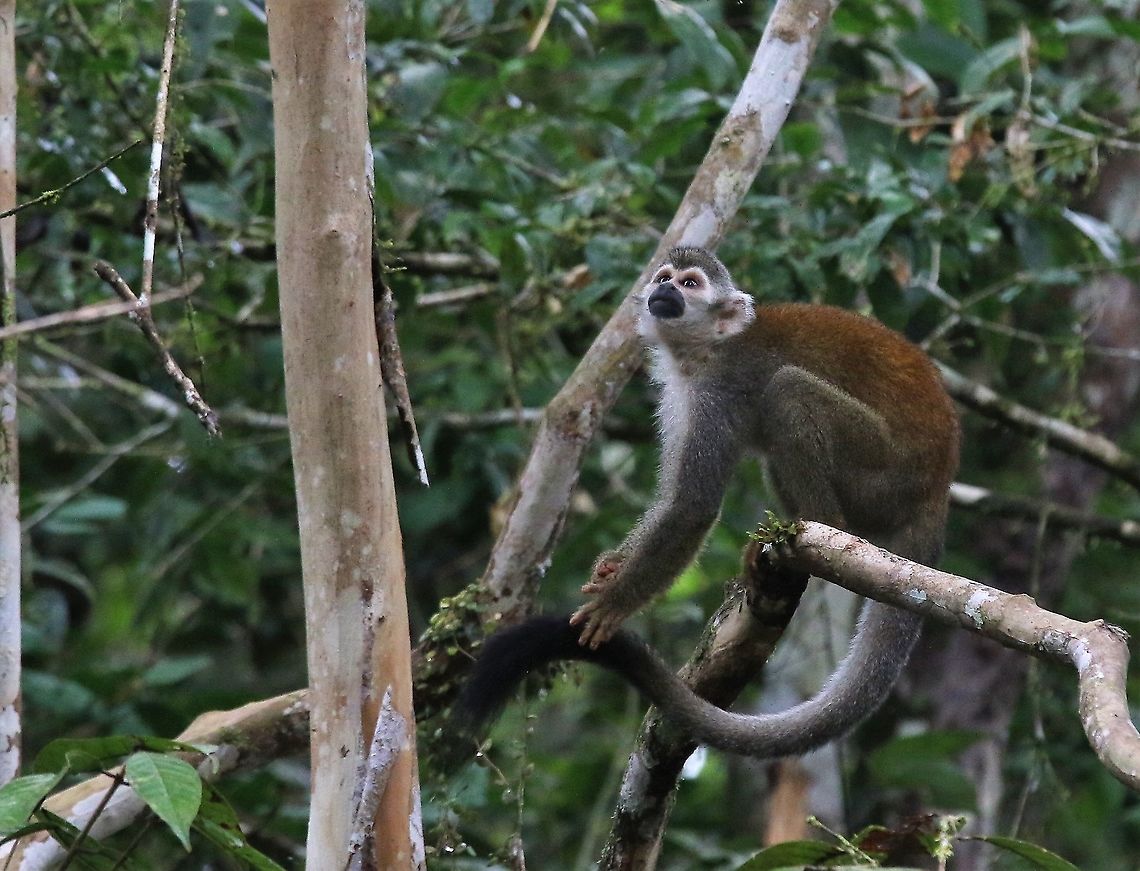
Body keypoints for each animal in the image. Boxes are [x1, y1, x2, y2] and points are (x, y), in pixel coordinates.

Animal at [456, 246, 959, 758]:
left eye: (691, 284)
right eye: (665, 276)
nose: (665, 289)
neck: (702, 351)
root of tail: (937, 486)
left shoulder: (717, 393)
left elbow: (693, 507)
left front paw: (616, 602)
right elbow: (673, 498)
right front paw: (615, 566)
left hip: (885, 473)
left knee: (787, 390)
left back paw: (817, 524)